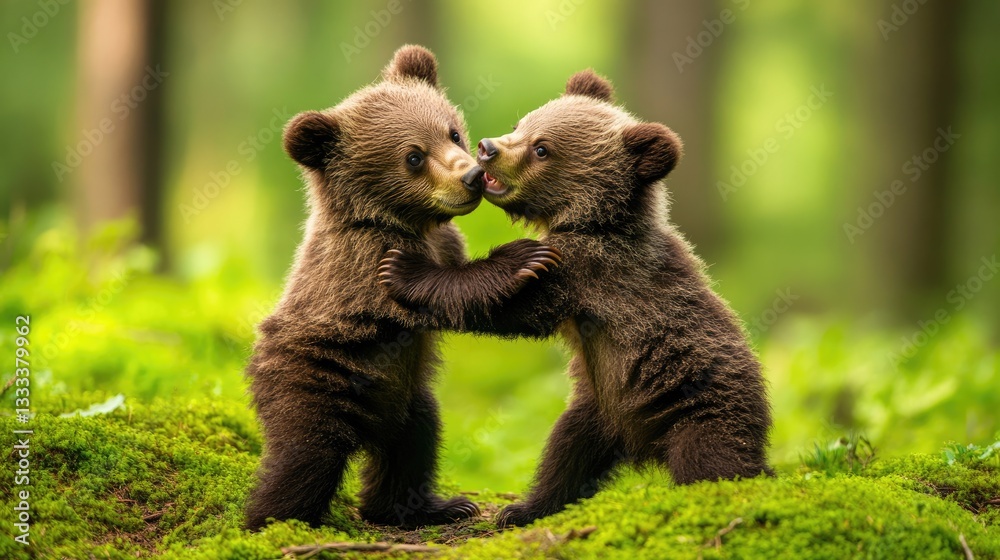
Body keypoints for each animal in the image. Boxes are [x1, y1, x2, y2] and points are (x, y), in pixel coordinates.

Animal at [243, 45, 561, 531]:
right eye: (413, 156)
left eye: (452, 131)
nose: (471, 176)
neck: (410, 222)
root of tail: (368, 427)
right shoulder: (362, 262)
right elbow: (442, 295)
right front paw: (522, 258)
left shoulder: (444, 241)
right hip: (312, 381)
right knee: (305, 456)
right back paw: (271, 520)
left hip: (407, 392)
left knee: (415, 443)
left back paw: (431, 506)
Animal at [377, 69, 774, 528]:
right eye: (522, 124)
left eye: (542, 147)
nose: (488, 147)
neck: (592, 221)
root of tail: (640, 443)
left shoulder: (592, 270)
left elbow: (516, 307)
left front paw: (402, 270)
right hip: (599, 404)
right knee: (565, 452)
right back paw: (525, 508)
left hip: (701, 407)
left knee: (710, 460)